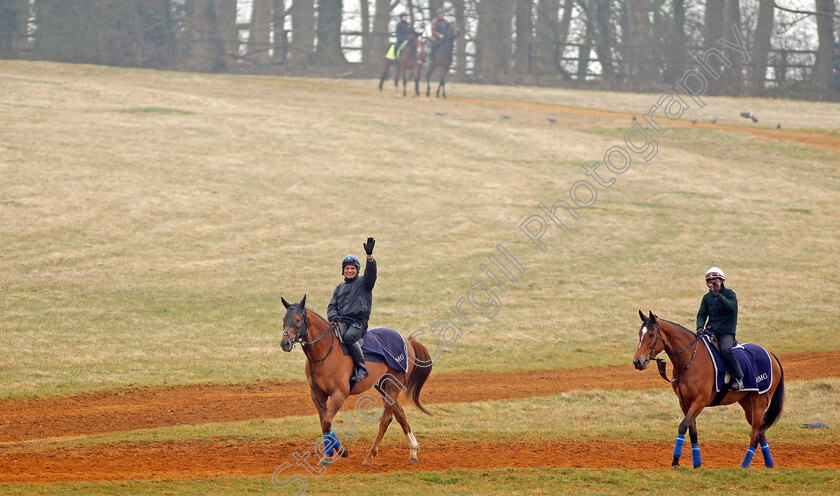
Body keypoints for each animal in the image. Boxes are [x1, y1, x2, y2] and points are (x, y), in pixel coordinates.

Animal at [280, 296, 430, 466]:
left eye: (298, 320)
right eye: (284, 319)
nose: (285, 343)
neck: (325, 353)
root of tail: (407, 340)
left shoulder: (339, 394)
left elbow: (326, 423)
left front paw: (340, 451)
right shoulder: (317, 396)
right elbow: (324, 424)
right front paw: (329, 455)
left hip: (393, 385)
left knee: (386, 419)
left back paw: (370, 455)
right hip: (382, 386)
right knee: (400, 414)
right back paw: (413, 451)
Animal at [632, 310, 784, 468]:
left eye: (651, 335)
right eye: (640, 334)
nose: (637, 361)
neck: (690, 360)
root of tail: (771, 355)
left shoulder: (700, 401)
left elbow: (683, 426)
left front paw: (675, 459)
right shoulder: (684, 402)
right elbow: (692, 431)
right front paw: (696, 462)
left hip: (760, 402)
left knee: (755, 434)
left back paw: (745, 465)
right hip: (748, 405)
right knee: (760, 431)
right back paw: (769, 464)